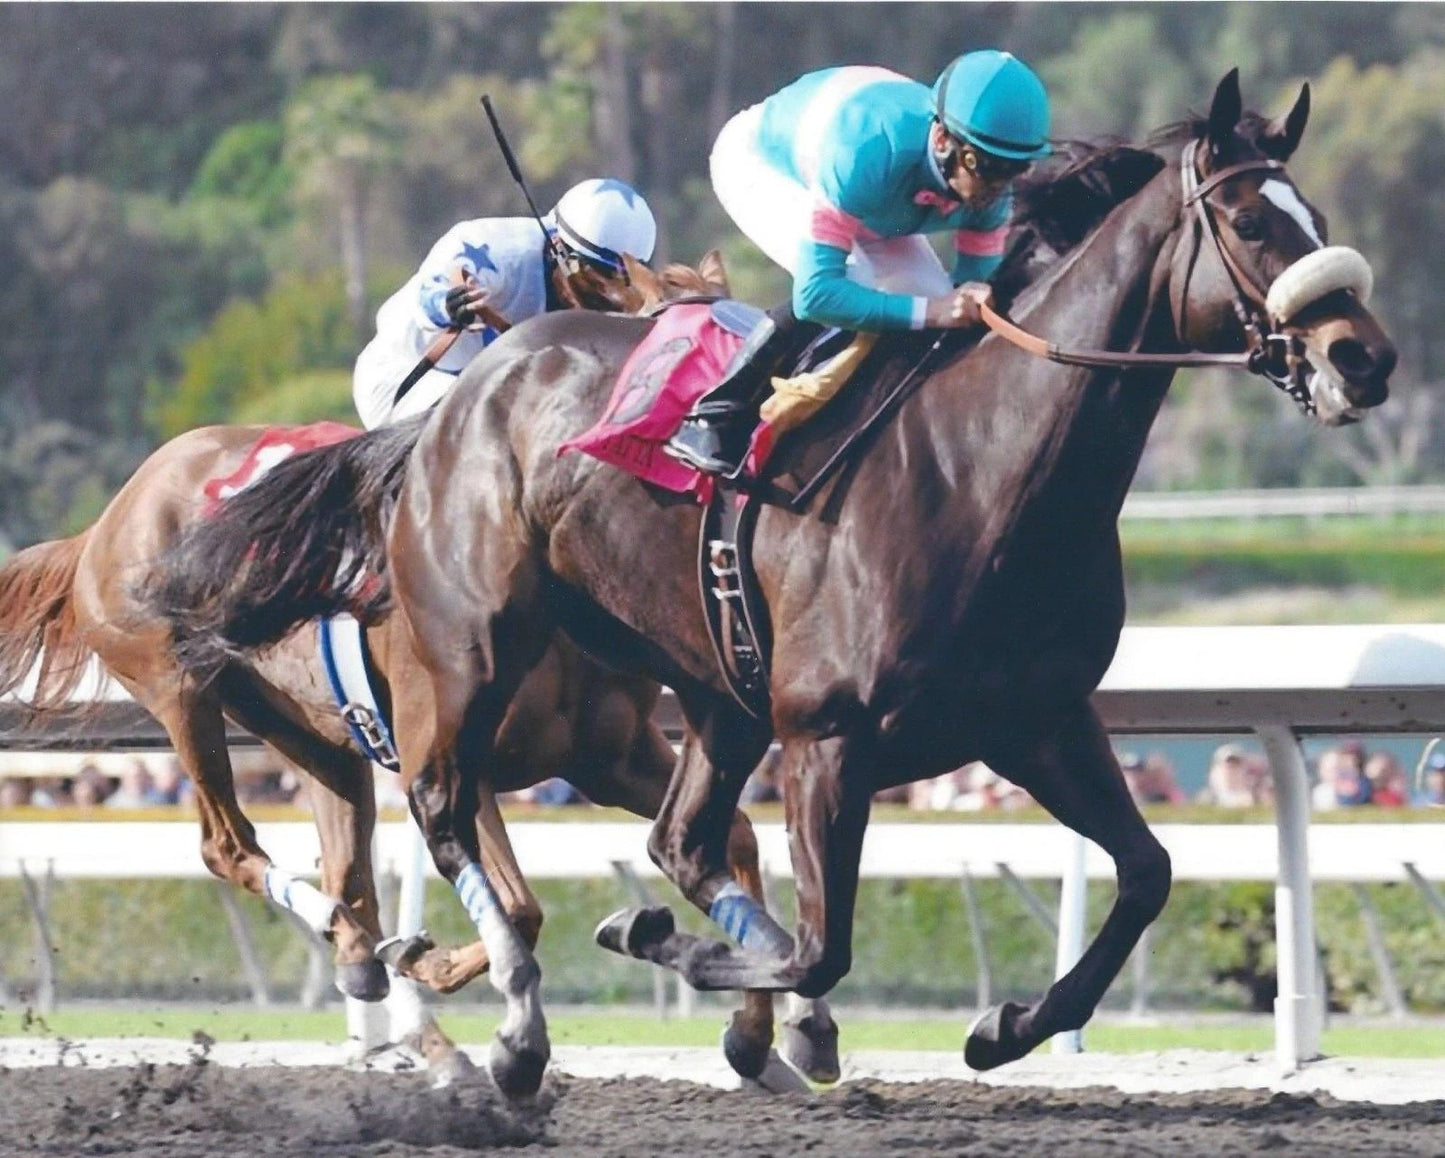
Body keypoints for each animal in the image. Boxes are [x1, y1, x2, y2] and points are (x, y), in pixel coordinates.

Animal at [1, 253, 839, 1093]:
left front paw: (773, 1036)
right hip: (178, 688)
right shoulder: (454, 755)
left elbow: (733, 839)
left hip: (313, 732)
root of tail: (110, 515)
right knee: (229, 847)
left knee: (348, 874)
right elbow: (521, 908)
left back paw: (376, 979)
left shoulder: (608, 755)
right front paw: (451, 982)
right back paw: (367, 957)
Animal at [150, 70, 1397, 1093]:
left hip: (711, 687)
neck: (989, 468)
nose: (1365, 358)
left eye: (1323, 224)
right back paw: (513, 1030)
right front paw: (690, 959)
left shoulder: (1035, 719)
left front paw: (1003, 1026)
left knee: (680, 839)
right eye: (1249, 221)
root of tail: (460, 393)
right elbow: (823, 943)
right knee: (449, 805)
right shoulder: (827, 735)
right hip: (472, 649)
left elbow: (1144, 873)